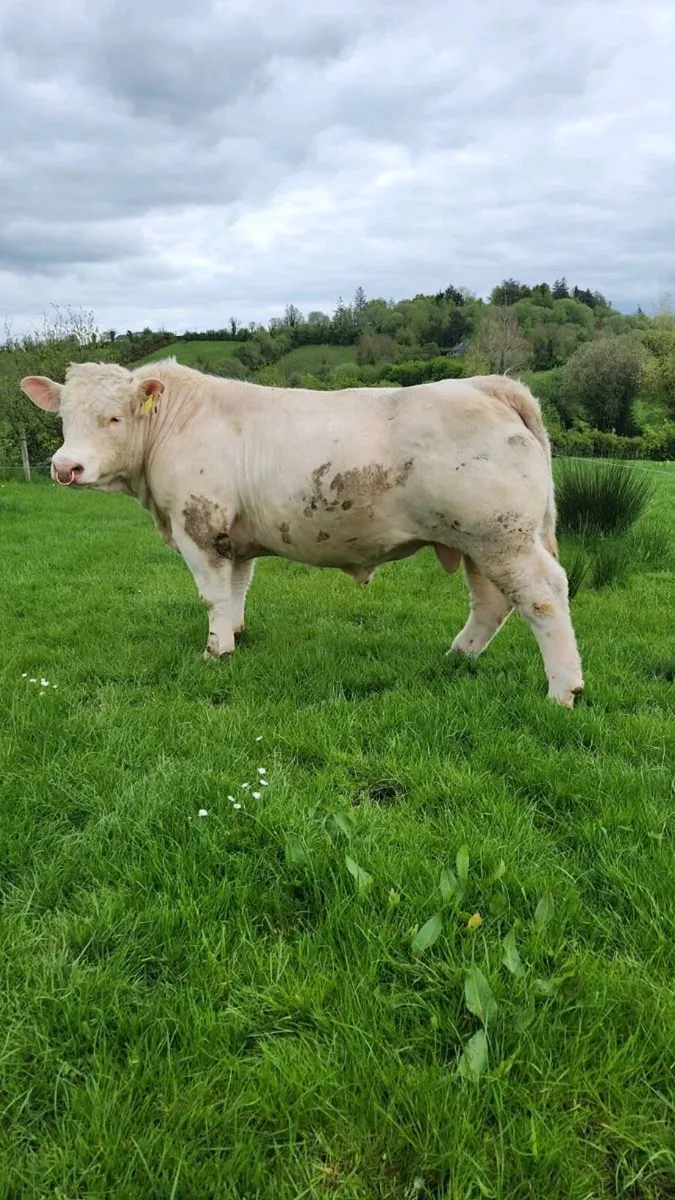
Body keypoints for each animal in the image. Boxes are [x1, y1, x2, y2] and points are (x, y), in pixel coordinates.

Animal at [21, 361, 584, 707]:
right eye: (64, 417)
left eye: (113, 418)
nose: (65, 467)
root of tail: (484, 383)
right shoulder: (236, 537)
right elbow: (237, 589)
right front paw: (236, 634)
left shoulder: (198, 525)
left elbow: (211, 596)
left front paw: (215, 651)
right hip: (478, 540)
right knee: (492, 601)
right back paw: (457, 657)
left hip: (502, 536)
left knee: (543, 596)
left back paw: (563, 691)